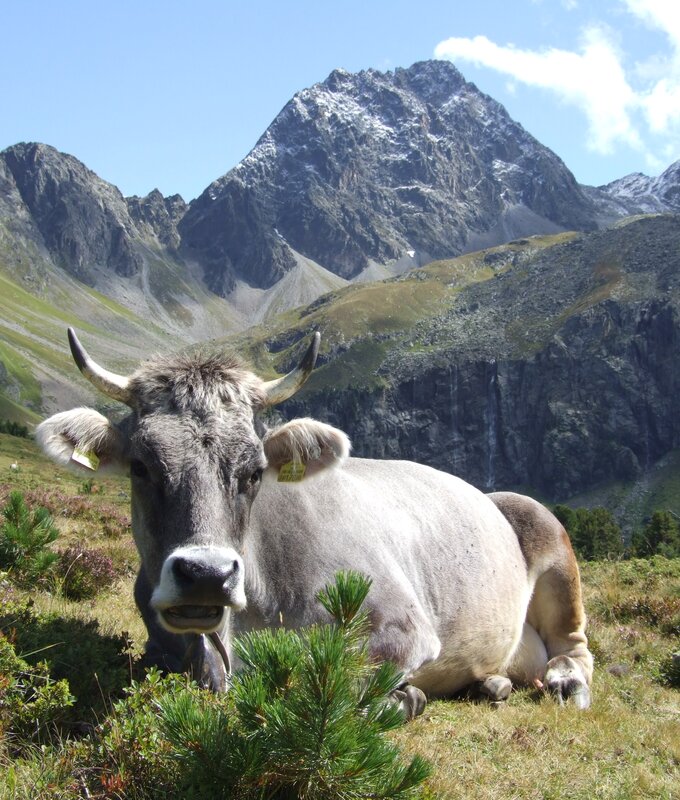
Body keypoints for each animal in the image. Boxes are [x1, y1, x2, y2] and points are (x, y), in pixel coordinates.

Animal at [37, 328, 592, 716]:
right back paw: (491, 682)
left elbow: (322, 679)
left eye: (255, 470)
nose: (206, 575)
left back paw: (567, 682)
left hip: (547, 535)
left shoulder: (403, 626)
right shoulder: (161, 643)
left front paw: (405, 698)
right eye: (140, 466)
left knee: (574, 644)